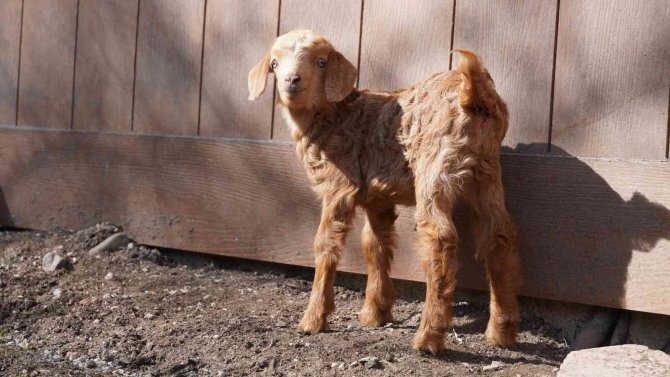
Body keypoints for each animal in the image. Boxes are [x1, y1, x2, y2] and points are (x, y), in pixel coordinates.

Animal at [249, 30, 524, 356]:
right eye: (274, 63)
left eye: (321, 61)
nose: (292, 80)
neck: (333, 114)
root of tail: (476, 94)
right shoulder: (376, 196)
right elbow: (375, 244)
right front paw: (375, 312)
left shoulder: (339, 186)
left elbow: (326, 245)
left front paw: (313, 320)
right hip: (487, 173)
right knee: (498, 235)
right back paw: (501, 331)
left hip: (435, 167)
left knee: (439, 241)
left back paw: (429, 337)